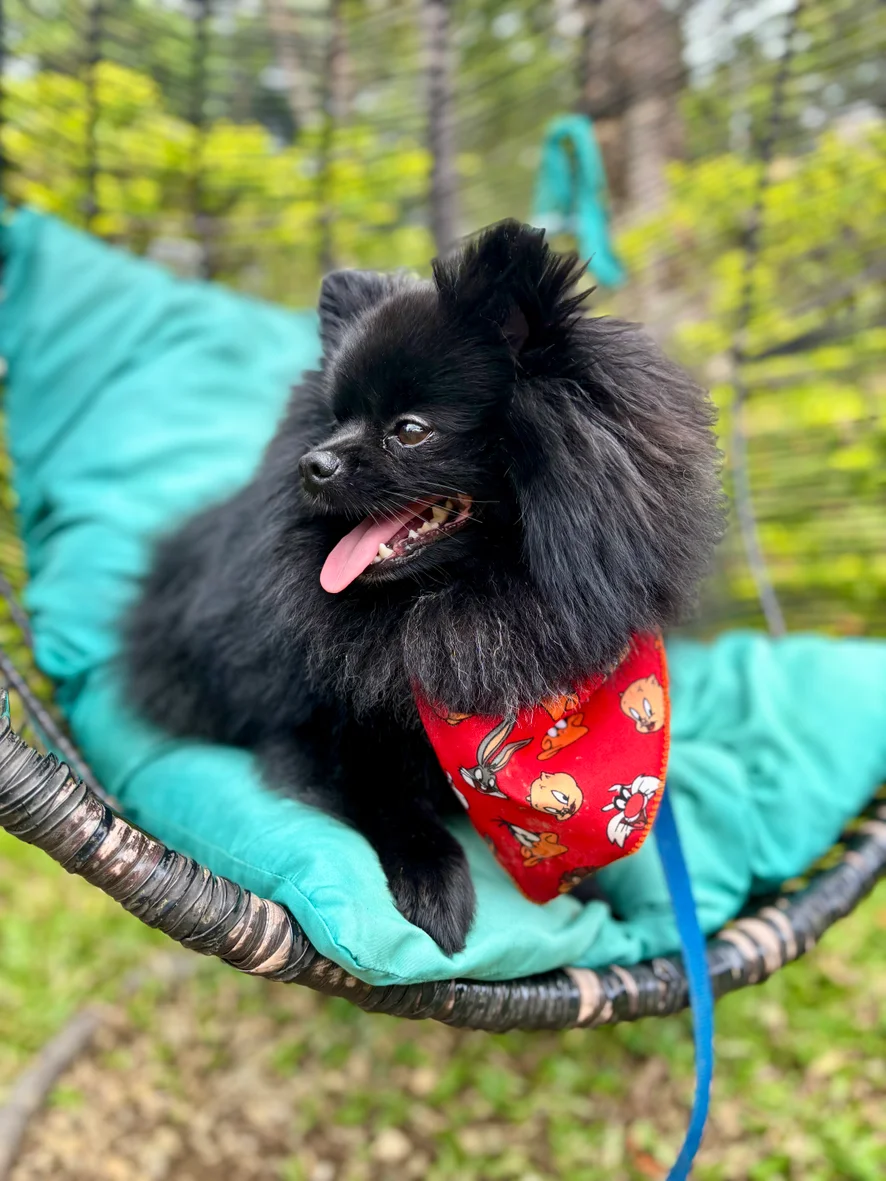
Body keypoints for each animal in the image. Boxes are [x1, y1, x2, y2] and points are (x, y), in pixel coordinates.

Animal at [124, 220, 724, 955]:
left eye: (409, 431)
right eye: (334, 421)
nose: (312, 462)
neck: (459, 607)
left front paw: (597, 892)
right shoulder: (313, 734)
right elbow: (389, 798)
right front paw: (435, 880)